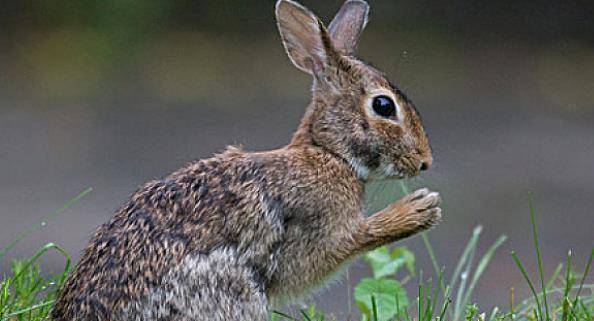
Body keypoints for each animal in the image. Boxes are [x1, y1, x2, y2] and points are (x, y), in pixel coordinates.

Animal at [52, 0, 440, 320]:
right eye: (383, 106)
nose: (425, 162)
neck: (329, 154)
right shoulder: (318, 229)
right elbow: (352, 241)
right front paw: (419, 210)